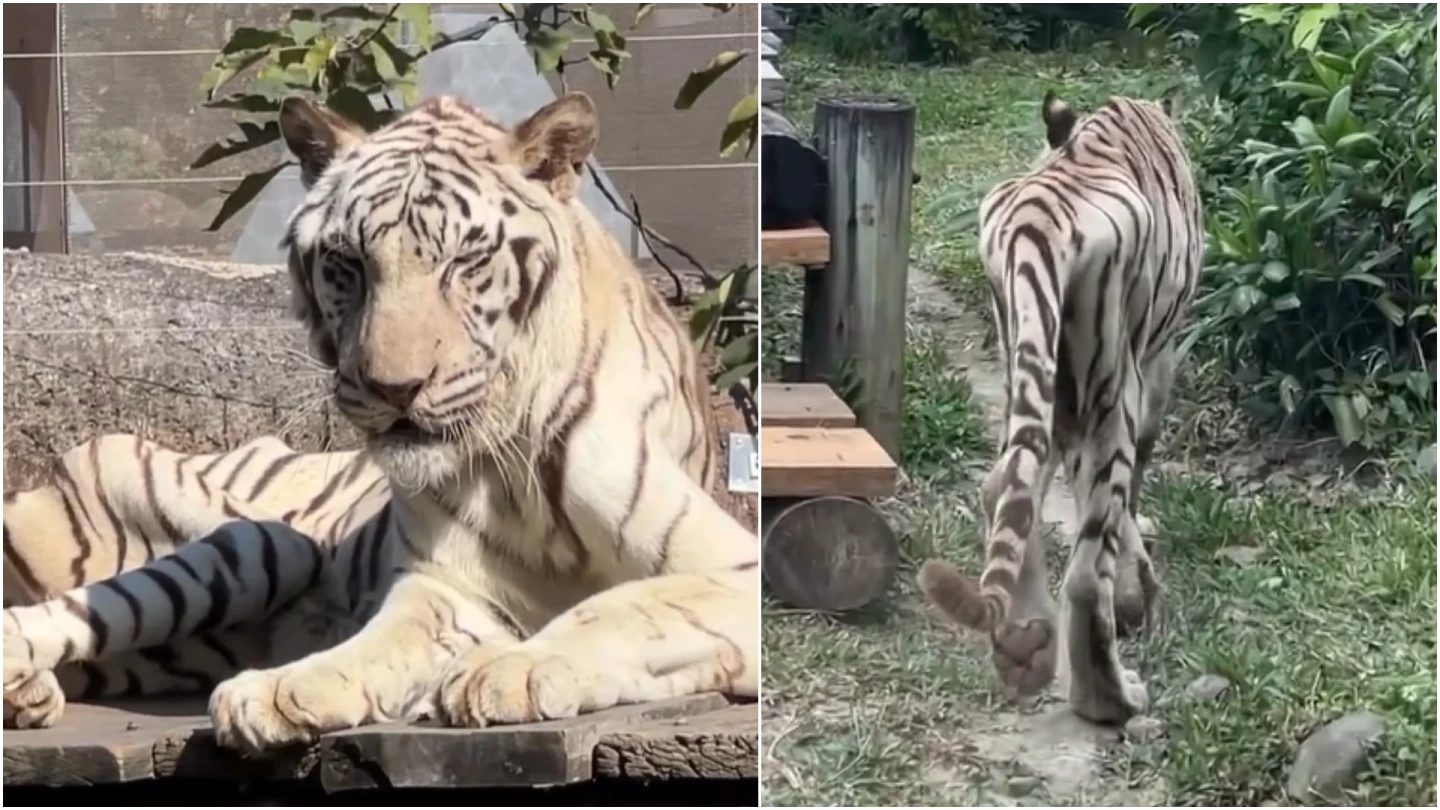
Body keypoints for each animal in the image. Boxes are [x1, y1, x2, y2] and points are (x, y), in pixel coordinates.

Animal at [3, 92, 760, 752]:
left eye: (466, 262)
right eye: (348, 264)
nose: (396, 388)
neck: (513, 459)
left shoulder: (732, 568)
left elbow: (630, 606)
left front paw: (509, 670)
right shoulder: (449, 587)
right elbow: (383, 639)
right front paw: (282, 688)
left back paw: (31, 695)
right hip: (257, 542)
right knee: (50, 613)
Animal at [917, 91, 1202, 724]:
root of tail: (1036, 226)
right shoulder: (1156, 360)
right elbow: (1134, 481)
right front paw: (1138, 589)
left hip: (1031, 366)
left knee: (1004, 488)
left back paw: (1025, 648)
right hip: (1110, 388)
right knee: (1086, 571)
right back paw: (1112, 698)